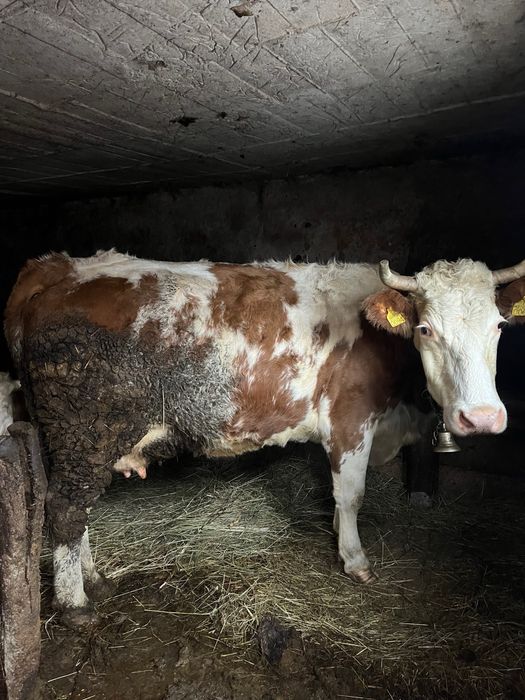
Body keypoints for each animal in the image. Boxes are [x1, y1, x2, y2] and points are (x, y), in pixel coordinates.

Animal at [4, 250, 525, 626]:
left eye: (500, 326)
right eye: (425, 328)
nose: (481, 417)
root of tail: (58, 268)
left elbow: (338, 495)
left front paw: (337, 533)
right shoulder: (351, 419)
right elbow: (352, 494)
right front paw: (354, 558)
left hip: (72, 438)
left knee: (76, 509)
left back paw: (95, 579)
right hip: (84, 429)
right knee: (66, 507)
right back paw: (76, 604)